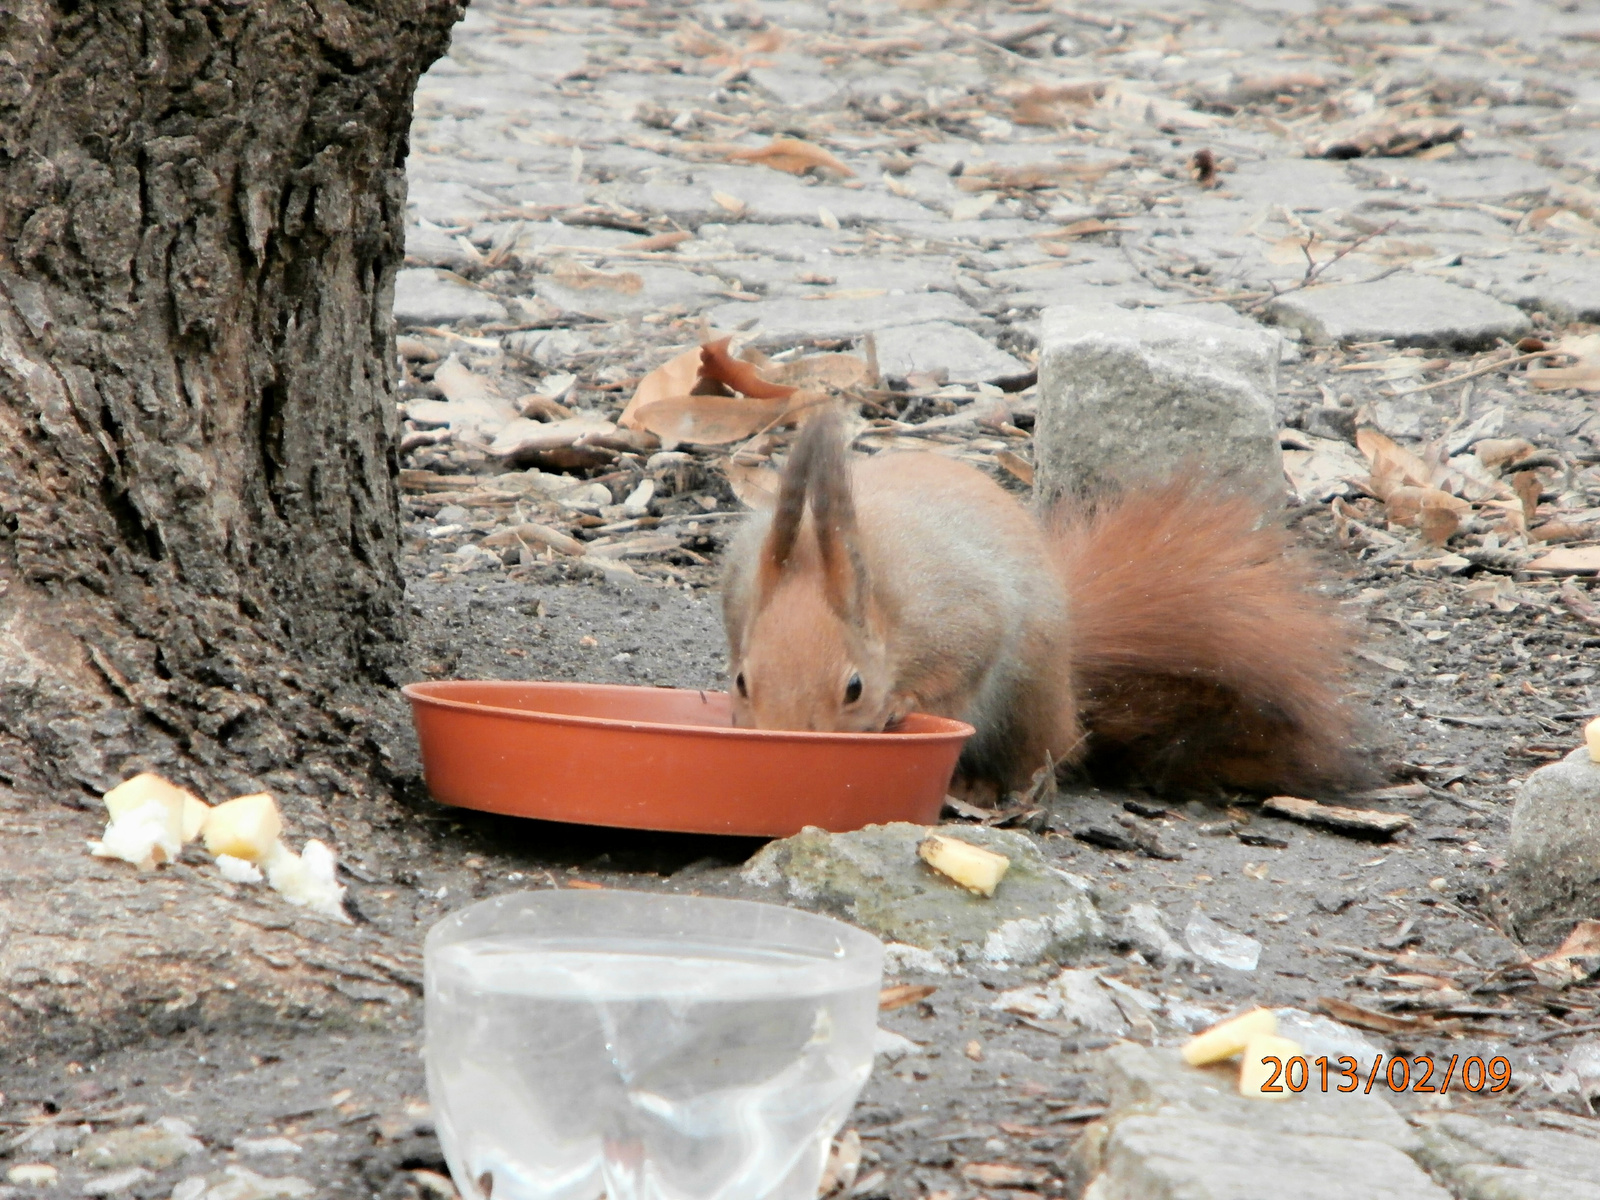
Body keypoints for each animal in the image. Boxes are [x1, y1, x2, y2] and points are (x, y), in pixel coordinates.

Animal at [726, 412, 1363, 800]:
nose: (783, 746)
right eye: (739, 683)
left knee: (1044, 754)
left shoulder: (961, 613)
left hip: (1029, 694)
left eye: (854, 688)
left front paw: (903, 705)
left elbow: (961, 663)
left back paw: (990, 790)